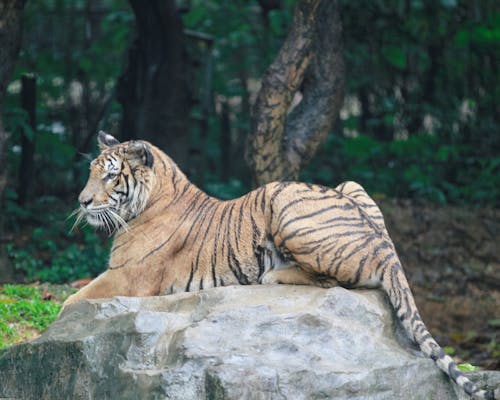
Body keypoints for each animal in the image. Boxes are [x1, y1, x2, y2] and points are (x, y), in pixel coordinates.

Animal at [65, 131, 496, 400]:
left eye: (111, 176)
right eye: (91, 173)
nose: (82, 201)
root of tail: (384, 246)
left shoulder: (126, 276)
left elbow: (71, 301)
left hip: (283, 200)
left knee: (333, 281)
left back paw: (273, 273)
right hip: (351, 185)